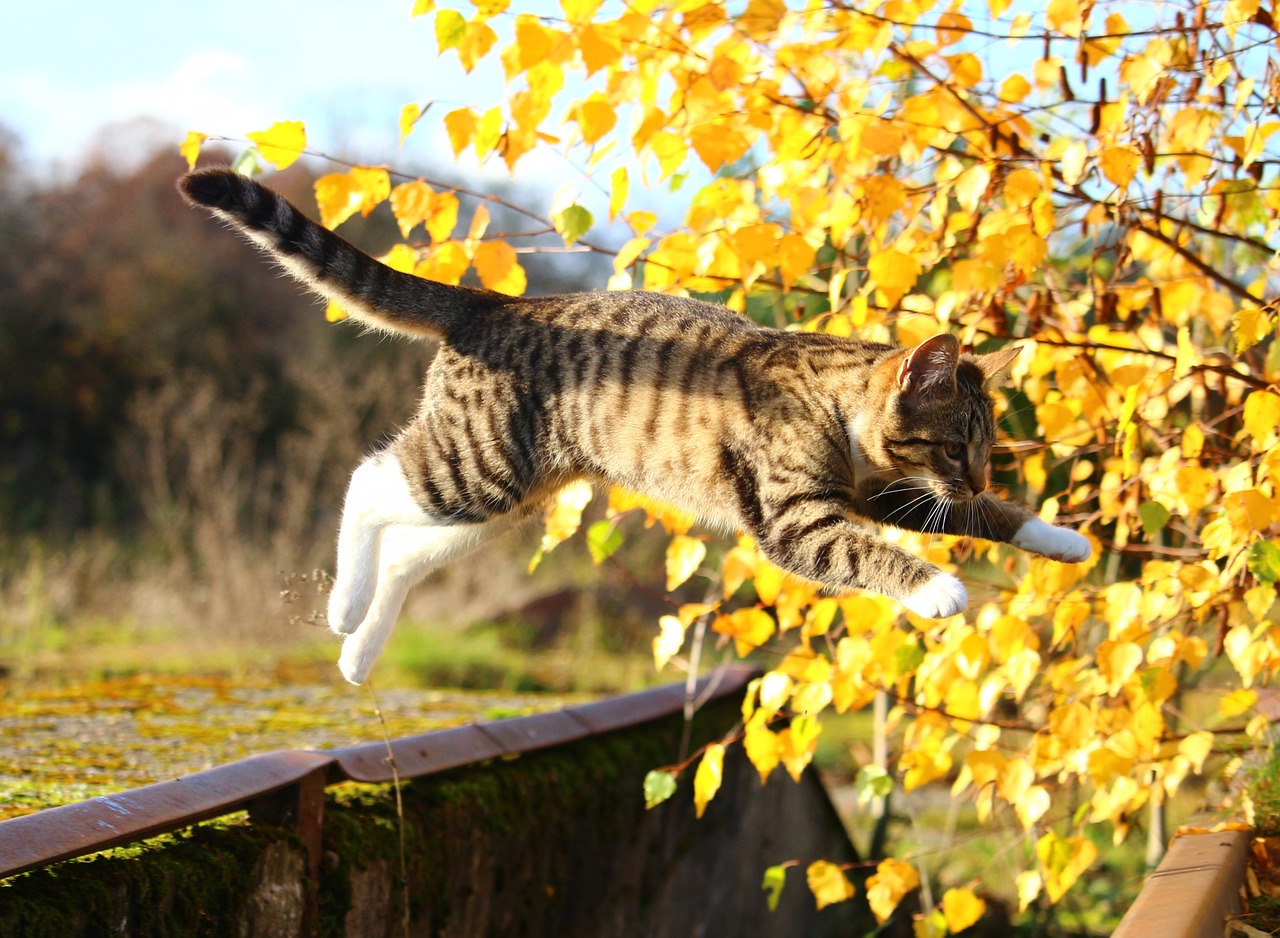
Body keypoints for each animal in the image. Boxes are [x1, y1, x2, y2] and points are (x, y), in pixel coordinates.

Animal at [177, 166, 1090, 680]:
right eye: (955, 444)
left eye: (987, 449)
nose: (977, 470)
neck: (840, 408)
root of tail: (493, 301)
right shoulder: (797, 517)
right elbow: (870, 552)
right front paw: (938, 588)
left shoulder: (884, 493)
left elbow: (980, 519)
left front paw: (1061, 538)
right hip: (477, 466)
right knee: (366, 481)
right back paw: (342, 609)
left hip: (508, 499)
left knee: (404, 550)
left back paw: (358, 653)